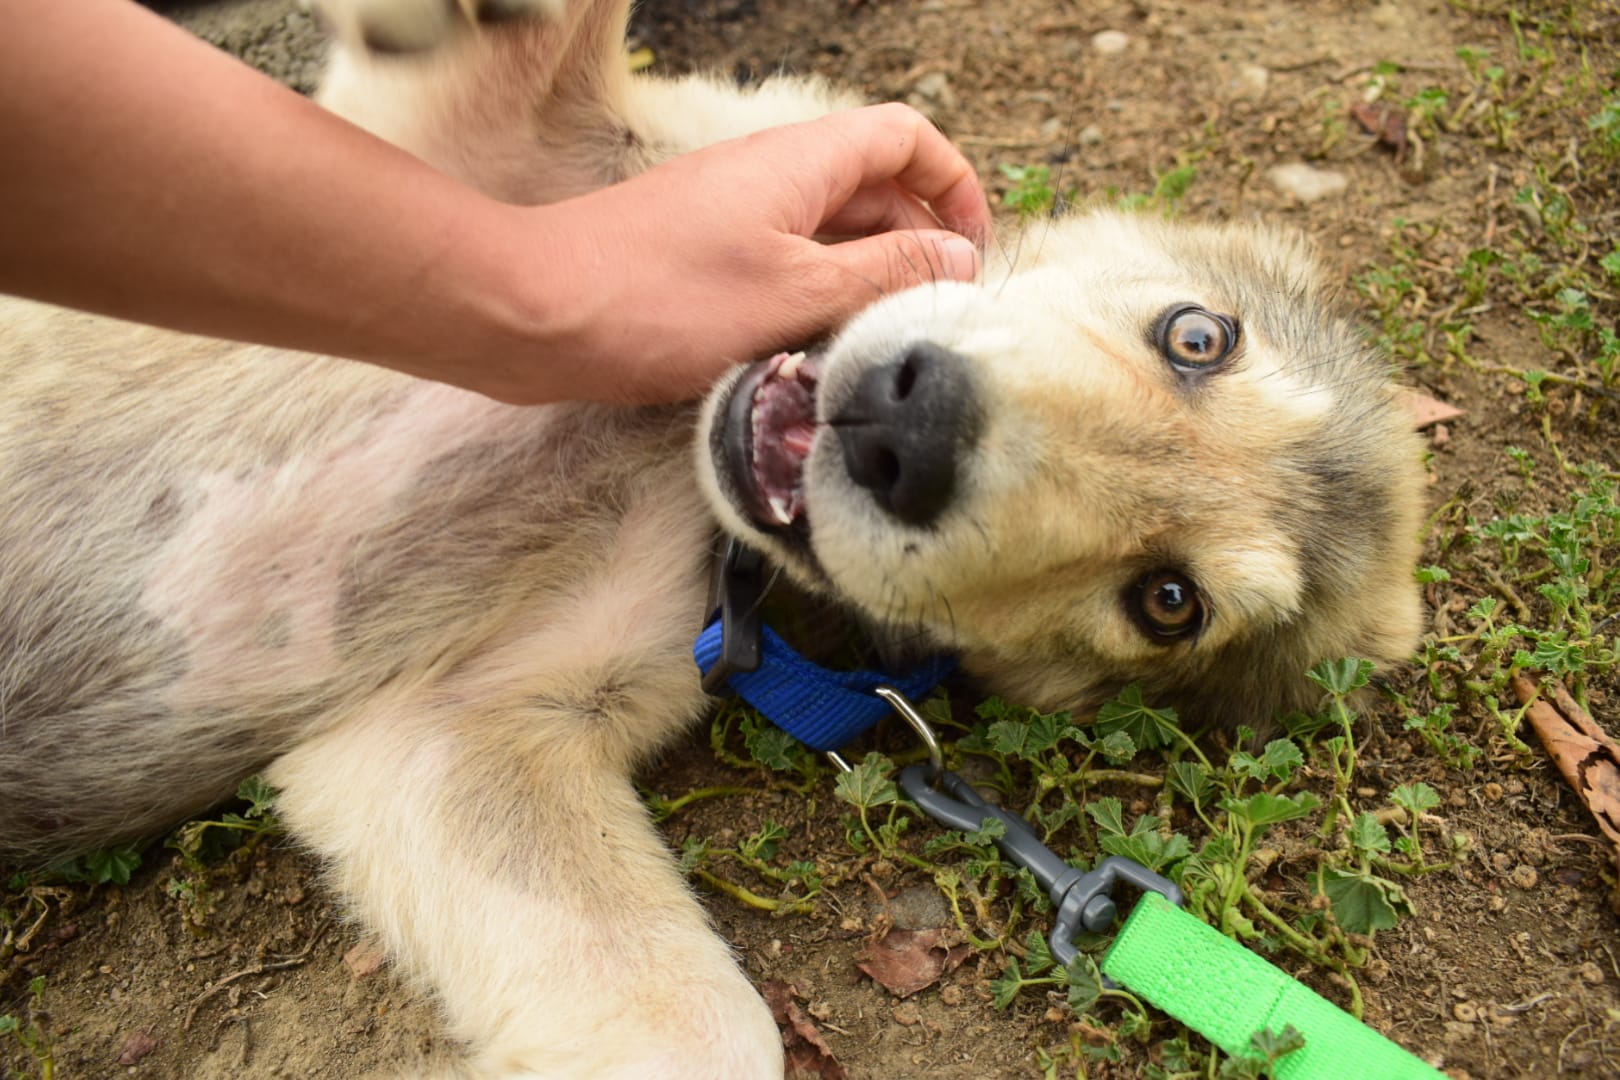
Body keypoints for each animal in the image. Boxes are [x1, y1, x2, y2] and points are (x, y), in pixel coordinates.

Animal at [0, 0, 1426, 1075]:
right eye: (1199, 336)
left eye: (1167, 602)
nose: (907, 431)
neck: (672, 432)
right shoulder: (537, 154)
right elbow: (548, 55)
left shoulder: (454, 732)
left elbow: (701, 1028)